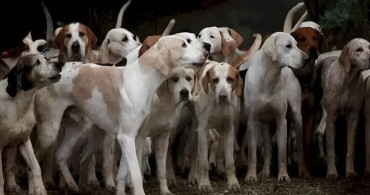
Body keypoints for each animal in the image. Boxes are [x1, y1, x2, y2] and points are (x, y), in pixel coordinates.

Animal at [0, 54, 62, 195]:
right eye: (36, 63)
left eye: (45, 58)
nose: (60, 64)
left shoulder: (24, 140)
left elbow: (36, 166)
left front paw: (39, 189)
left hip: (13, 144)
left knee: (10, 166)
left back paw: (12, 184)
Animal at [32, 35, 208, 194]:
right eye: (184, 44)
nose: (207, 51)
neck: (141, 79)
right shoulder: (127, 137)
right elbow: (135, 175)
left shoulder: (133, 138)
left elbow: (123, 174)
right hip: (49, 133)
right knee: (35, 159)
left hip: (79, 129)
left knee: (60, 156)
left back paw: (73, 185)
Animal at [316, 38, 370, 178]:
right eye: (358, 49)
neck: (348, 81)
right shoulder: (331, 118)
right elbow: (331, 148)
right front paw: (331, 172)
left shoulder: (353, 118)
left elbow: (351, 147)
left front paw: (350, 171)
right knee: (319, 133)